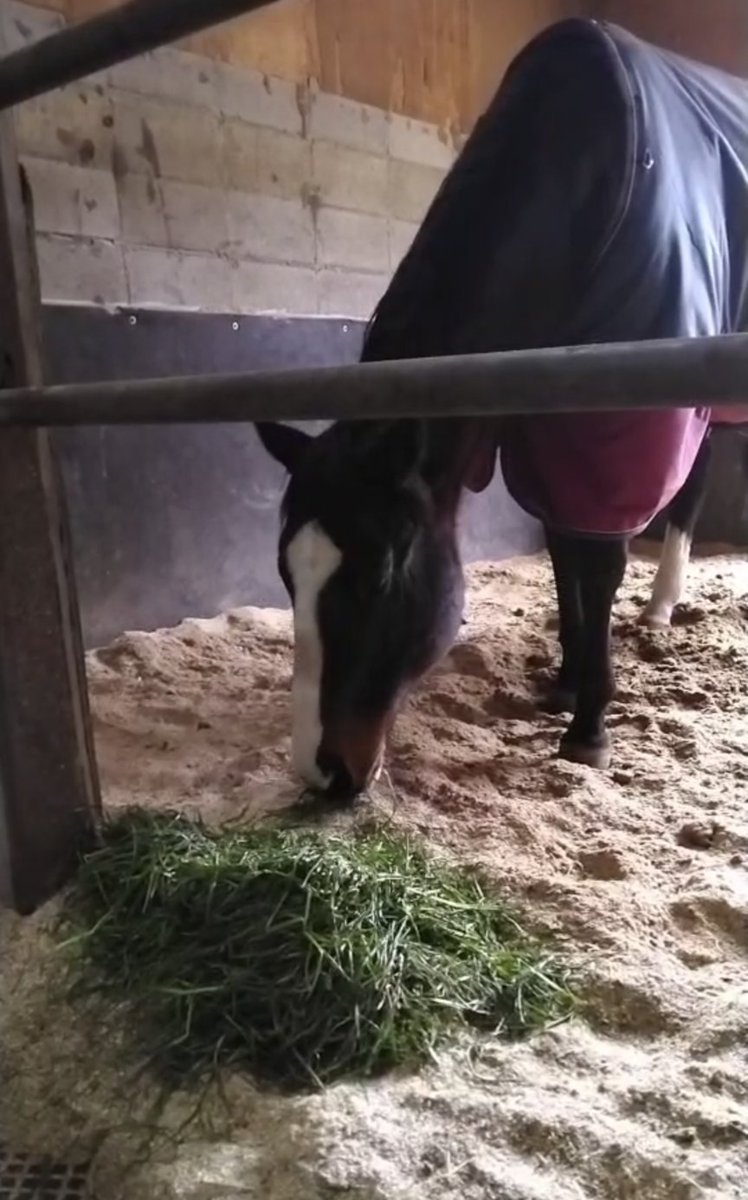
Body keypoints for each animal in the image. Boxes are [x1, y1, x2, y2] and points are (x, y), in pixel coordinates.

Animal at [256, 18, 748, 796]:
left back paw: (661, 604)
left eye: (380, 575)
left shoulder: (620, 428)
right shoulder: (540, 432)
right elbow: (563, 553)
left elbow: (598, 563)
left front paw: (589, 727)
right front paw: (567, 685)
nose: (319, 771)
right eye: (286, 573)